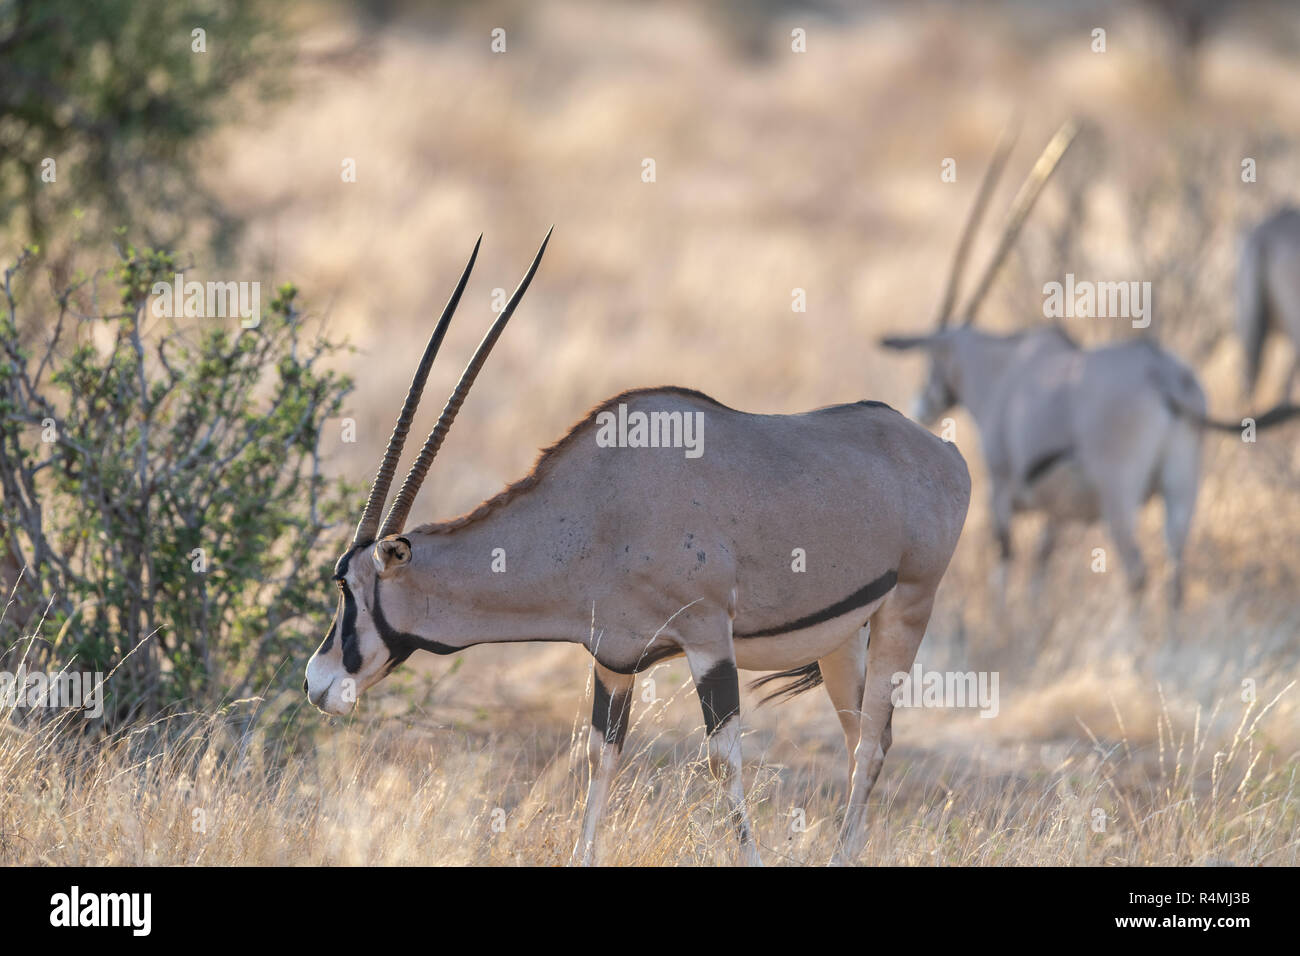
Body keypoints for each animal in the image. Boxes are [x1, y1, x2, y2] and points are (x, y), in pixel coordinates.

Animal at [304, 227, 972, 863]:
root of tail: (943, 451)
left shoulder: (708, 638)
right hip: (842, 639)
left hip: (906, 610)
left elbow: (722, 760)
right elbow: (599, 761)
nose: (316, 683)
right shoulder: (612, 658)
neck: (598, 508)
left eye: (348, 587)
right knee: (861, 739)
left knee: (875, 742)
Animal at [883, 127, 1300, 606]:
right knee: (1176, 574)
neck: (1002, 368)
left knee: (1137, 571)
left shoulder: (1000, 490)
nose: (921, 404)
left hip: (1120, 493)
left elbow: (1004, 568)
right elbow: (1040, 569)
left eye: (935, 359)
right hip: (1182, 488)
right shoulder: (1057, 514)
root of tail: (1164, 377)